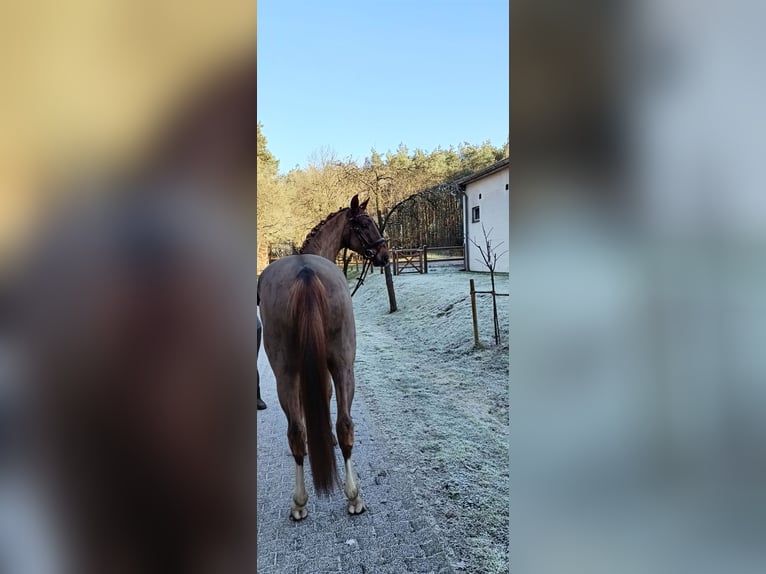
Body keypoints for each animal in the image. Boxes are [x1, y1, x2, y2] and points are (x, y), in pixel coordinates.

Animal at [258, 195, 390, 520]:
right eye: (364, 223)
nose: (384, 255)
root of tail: (306, 273)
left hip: (290, 373)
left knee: (301, 430)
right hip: (341, 366)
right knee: (341, 425)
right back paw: (347, 496)